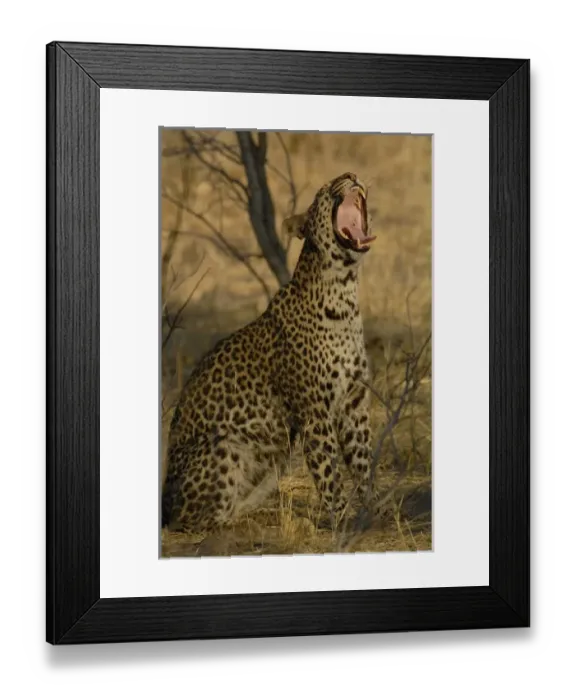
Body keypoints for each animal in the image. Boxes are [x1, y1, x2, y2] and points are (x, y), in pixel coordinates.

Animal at [162, 171, 378, 535]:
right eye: (324, 189)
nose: (349, 175)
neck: (345, 293)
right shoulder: (314, 414)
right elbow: (330, 475)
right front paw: (343, 522)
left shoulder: (354, 403)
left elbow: (364, 462)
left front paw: (378, 511)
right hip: (224, 445)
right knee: (192, 520)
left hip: (273, 463)